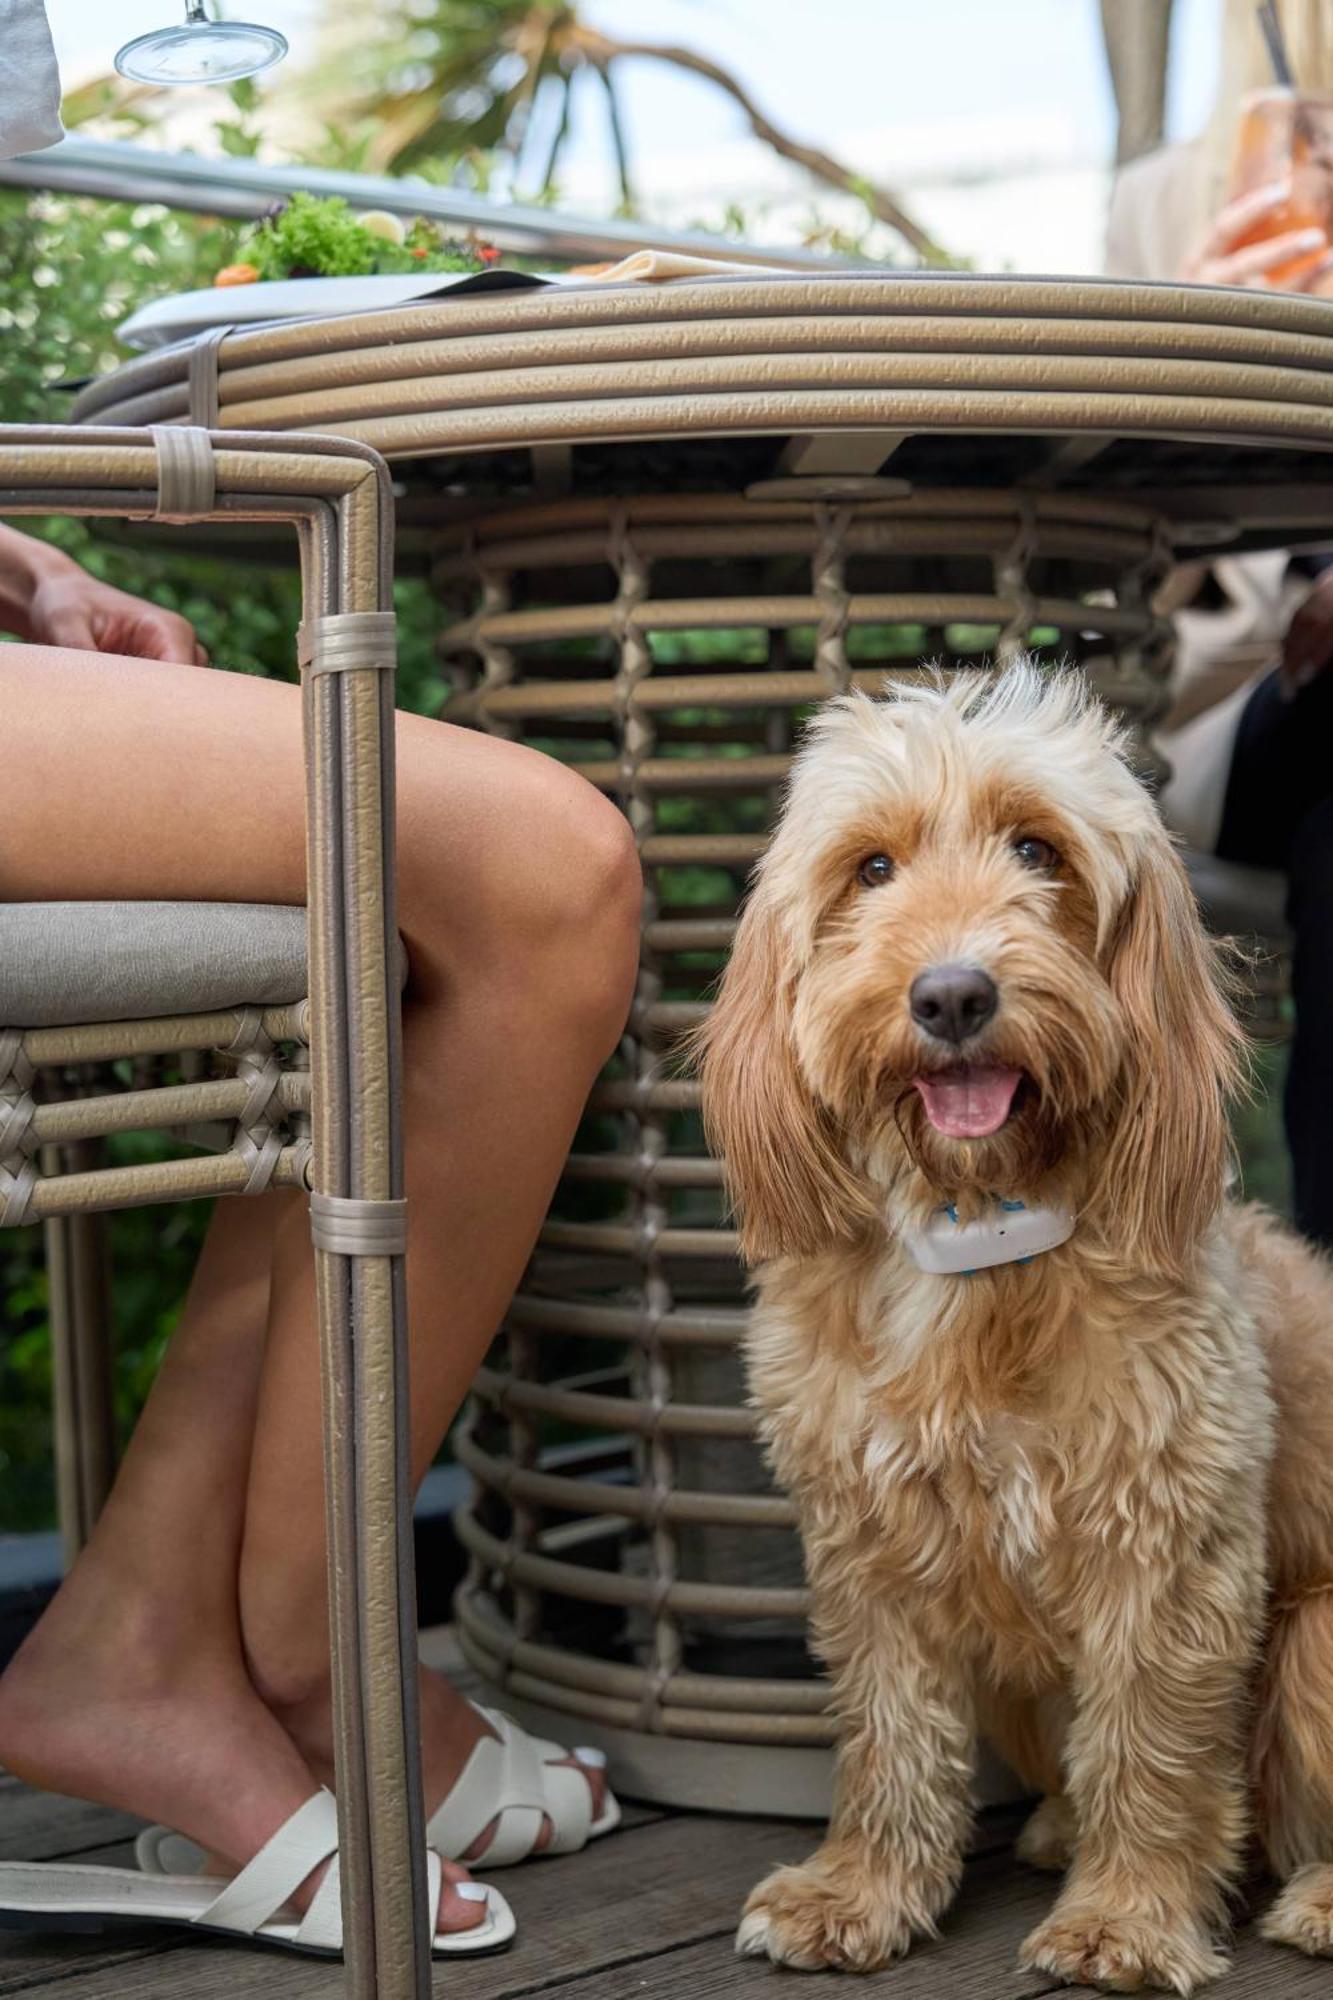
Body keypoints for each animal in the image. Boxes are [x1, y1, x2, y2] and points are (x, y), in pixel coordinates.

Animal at [688, 664, 1328, 1992]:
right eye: (871, 868)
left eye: (1037, 849)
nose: (951, 994)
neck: (980, 1241)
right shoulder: (869, 1544)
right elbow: (887, 1734)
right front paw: (861, 1890)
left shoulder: (1167, 1549)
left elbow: (1152, 1746)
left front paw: (1126, 1917)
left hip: (1312, 1640)